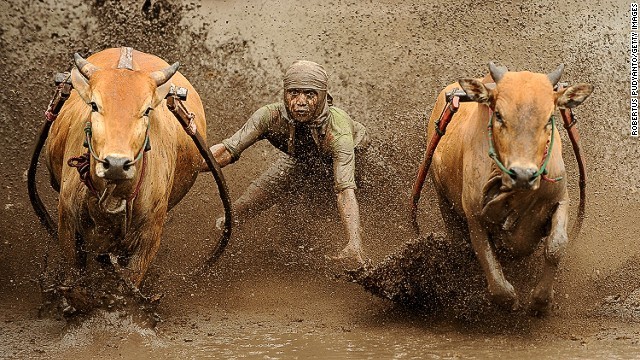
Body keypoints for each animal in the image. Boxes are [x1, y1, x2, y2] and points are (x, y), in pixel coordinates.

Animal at [424, 63, 596, 314]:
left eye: (549, 118)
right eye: (498, 115)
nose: (523, 174)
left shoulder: (560, 198)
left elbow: (556, 246)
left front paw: (541, 300)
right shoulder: (474, 216)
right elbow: (487, 259)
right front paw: (511, 300)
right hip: (444, 201)